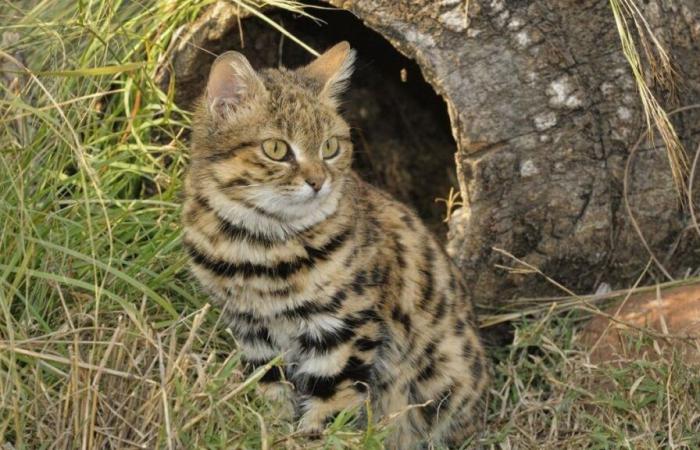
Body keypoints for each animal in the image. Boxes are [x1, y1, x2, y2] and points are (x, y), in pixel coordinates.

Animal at [183, 41, 490, 446]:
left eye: (330, 147)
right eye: (276, 149)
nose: (318, 182)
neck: (259, 245)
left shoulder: (344, 328)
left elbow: (331, 403)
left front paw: (312, 438)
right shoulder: (250, 328)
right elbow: (269, 389)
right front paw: (272, 430)